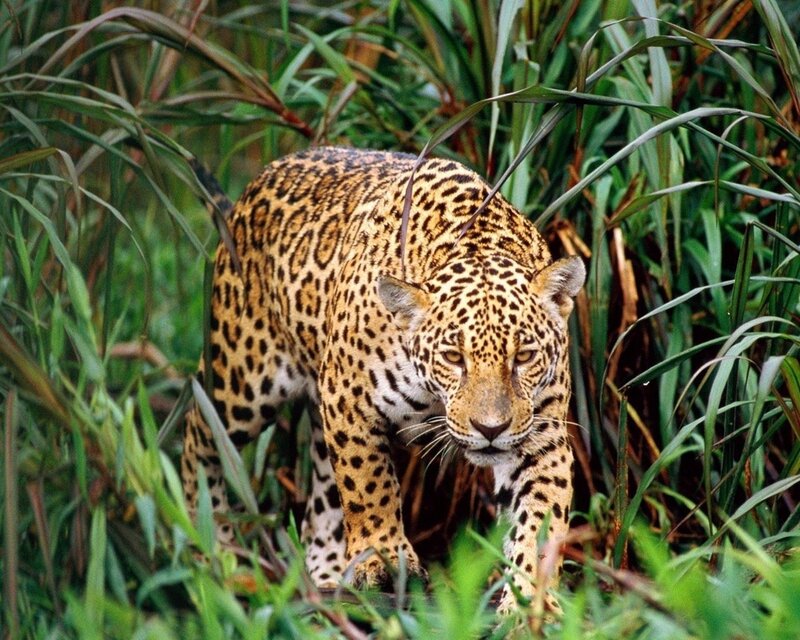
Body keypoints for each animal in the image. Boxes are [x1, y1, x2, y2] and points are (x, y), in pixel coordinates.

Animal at [180, 146, 585, 612]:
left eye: (523, 356)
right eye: (454, 357)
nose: (490, 429)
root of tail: (255, 185)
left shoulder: (542, 436)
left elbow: (539, 522)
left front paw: (532, 606)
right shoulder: (348, 400)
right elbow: (368, 485)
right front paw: (384, 558)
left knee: (322, 495)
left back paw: (326, 574)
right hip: (241, 379)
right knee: (198, 432)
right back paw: (211, 545)